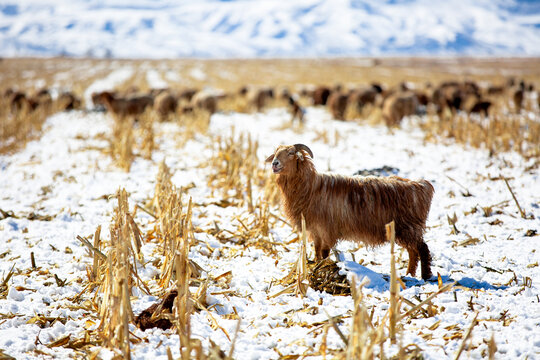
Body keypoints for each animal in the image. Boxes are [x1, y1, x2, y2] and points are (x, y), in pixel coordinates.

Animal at [266, 145, 434, 280]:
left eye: (291, 153)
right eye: (276, 152)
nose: (275, 163)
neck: (310, 187)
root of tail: (420, 185)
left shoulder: (327, 229)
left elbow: (325, 252)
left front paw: (322, 267)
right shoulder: (315, 229)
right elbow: (317, 251)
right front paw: (316, 266)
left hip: (408, 227)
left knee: (422, 249)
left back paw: (426, 276)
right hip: (402, 229)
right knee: (413, 251)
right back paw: (410, 274)